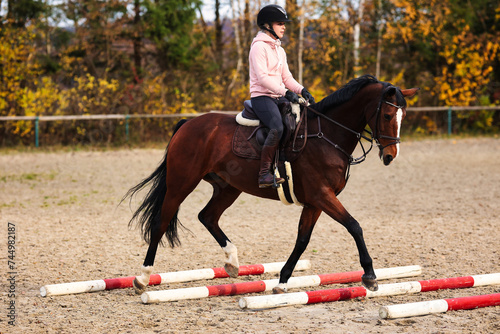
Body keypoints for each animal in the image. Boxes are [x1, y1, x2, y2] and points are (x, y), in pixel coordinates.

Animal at [124, 74, 418, 294]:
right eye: (388, 116)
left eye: (404, 116)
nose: (390, 156)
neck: (327, 135)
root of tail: (188, 124)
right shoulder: (322, 196)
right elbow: (355, 226)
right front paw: (370, 275)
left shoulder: (315, 201)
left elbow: (302, 239)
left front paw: (283, 281)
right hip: (181, 183)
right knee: (161, 222)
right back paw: (142, 278)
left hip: (228, 187)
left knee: (207, 216)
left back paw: (232, 262)